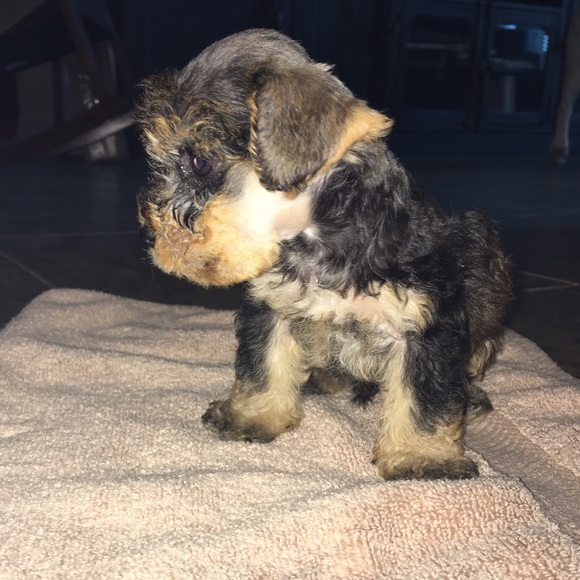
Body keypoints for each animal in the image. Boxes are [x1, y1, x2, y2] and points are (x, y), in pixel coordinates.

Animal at [136, 29, 511, 481]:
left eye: (199, 162)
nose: (152, 234)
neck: (321, 240)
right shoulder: (271, 307)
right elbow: (263, 364)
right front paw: (251, 416)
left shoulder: (427, 322)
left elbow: (424, 396)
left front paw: (421, 457)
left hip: (483, 250)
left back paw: (470, 398)